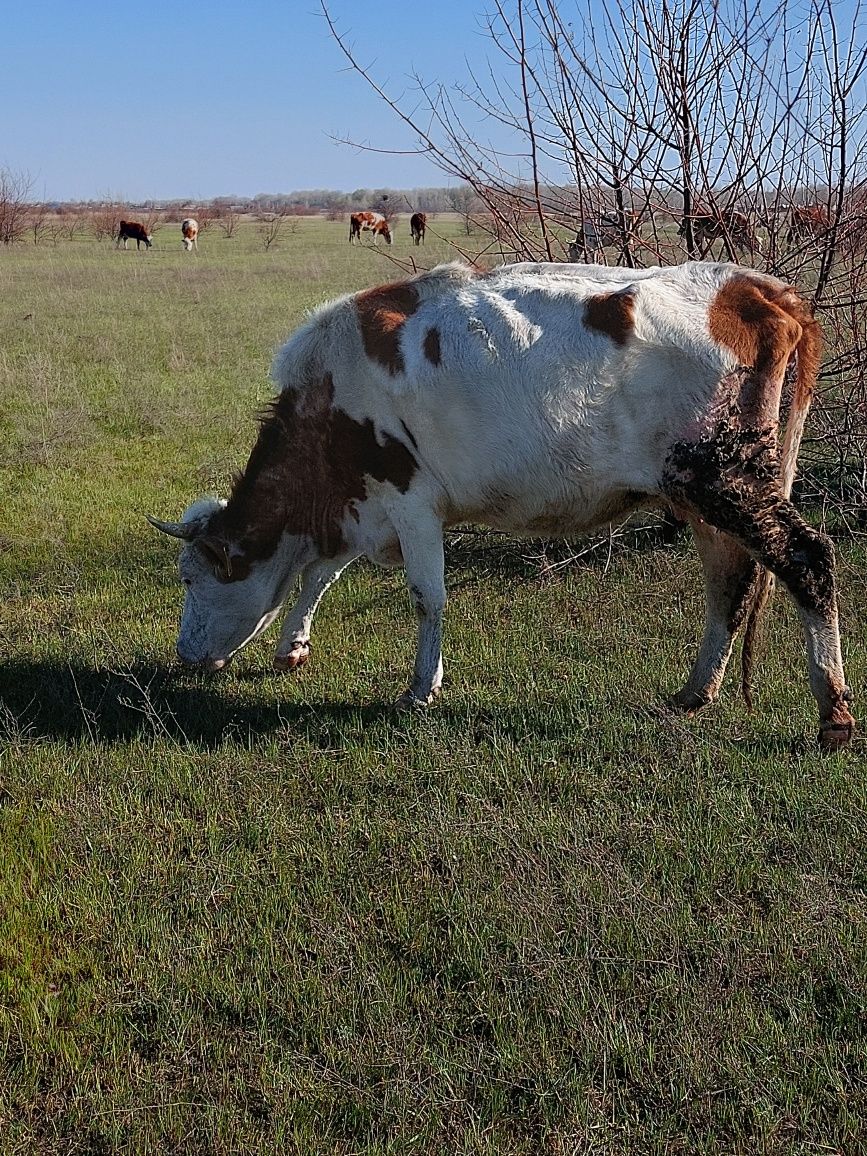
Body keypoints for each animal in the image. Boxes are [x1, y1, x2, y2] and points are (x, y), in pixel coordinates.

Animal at [149, 260, 855, 749]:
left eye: (190, 578)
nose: (184, 654)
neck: (328, 395)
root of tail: (751, 287)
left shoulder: (408, 497)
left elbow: (425, 596)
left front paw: (419, 689)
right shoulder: (365, 507)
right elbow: (320, 573)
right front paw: (292, 645)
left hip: (725, 477)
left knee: (808, 559)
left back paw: (833, 715)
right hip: (696, 489)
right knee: (729, 578)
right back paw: (695, 690)